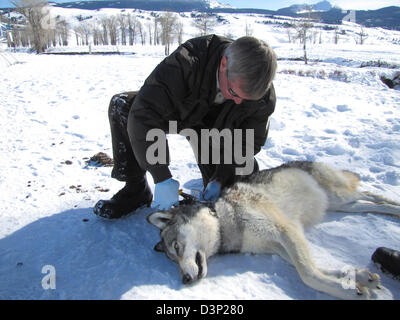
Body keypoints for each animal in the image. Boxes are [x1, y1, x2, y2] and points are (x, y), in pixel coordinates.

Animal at [148, 161, 400, 298]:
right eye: (172, 260)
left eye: (177, 247)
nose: (185, 280)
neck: (225, 221)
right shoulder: (279, 247)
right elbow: (319, 268)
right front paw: (359, 278)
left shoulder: (287, 230)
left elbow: (308, 274)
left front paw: (348, 291)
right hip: (342, 205)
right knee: (370, 203)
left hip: (341, 196)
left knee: (372, 196)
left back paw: (395, 206)